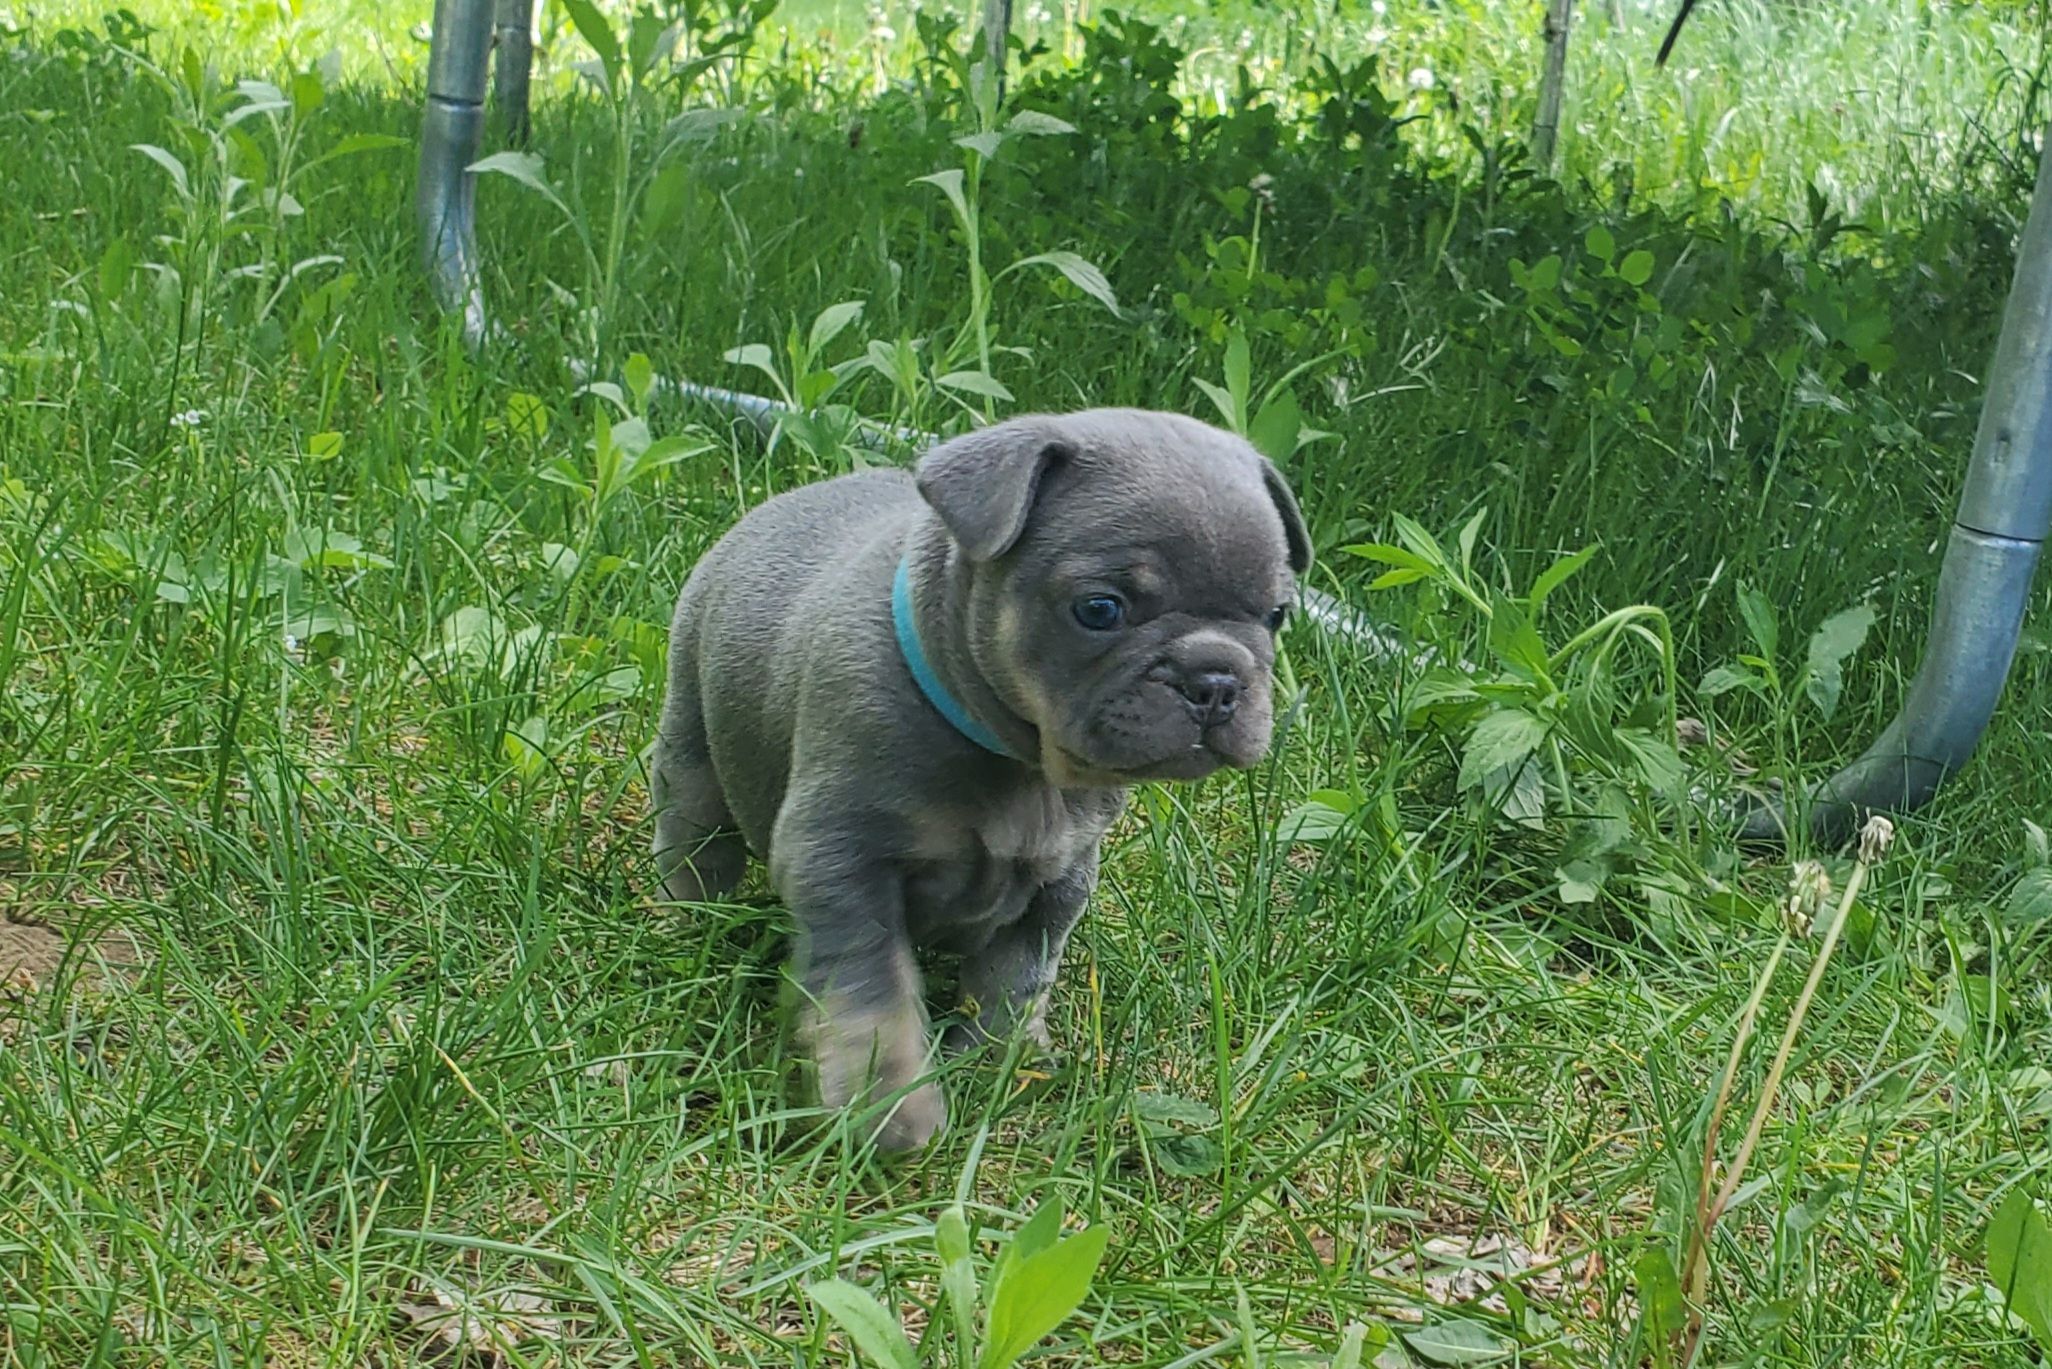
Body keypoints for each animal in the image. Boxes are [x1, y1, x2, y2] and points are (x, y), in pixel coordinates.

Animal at [648, 404, 1305, 1149]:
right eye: (1100, 609)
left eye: (1277, 614)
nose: (1215, 680)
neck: (1021, 762)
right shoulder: (842, 861)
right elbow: (871, 990)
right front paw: (888, 1105)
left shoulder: (1059, 880)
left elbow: (1015, 977)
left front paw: (1002, 1061)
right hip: (693, 750)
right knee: (695, 844)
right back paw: (686, 928)